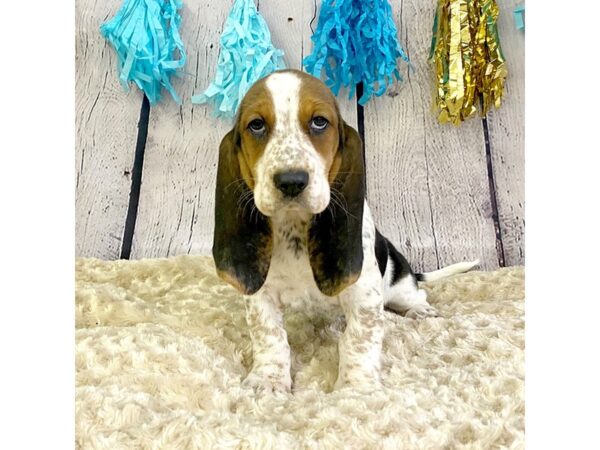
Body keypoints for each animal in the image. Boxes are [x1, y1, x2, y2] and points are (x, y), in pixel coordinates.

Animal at [213, 68, 476, 392]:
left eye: (319, 122)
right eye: (257, 125)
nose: (291, 181)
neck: (294, 226)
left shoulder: (364, 296)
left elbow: (358, 340)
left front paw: (355, 387)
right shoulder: (261, 296)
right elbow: (269, 336)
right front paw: (269, 379)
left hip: (399, 282)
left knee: (415, 295)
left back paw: (420, 310)